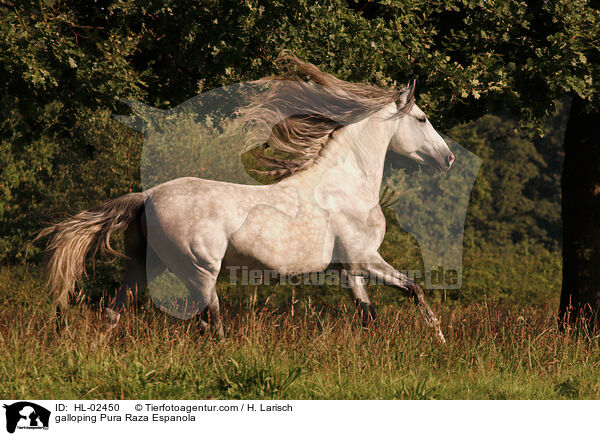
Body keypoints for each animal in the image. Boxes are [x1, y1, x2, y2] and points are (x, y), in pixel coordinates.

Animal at [37, 52, 452, 342]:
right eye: (421, 119)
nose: (446, 159)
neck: (345, 183)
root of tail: (148, 196)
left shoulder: (350, 269)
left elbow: (368, 314)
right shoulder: (365, 258)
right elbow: (415, 290)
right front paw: (440, 341)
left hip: (142, 266)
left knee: (114, 312)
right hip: (200, 272)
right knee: (212, 325)